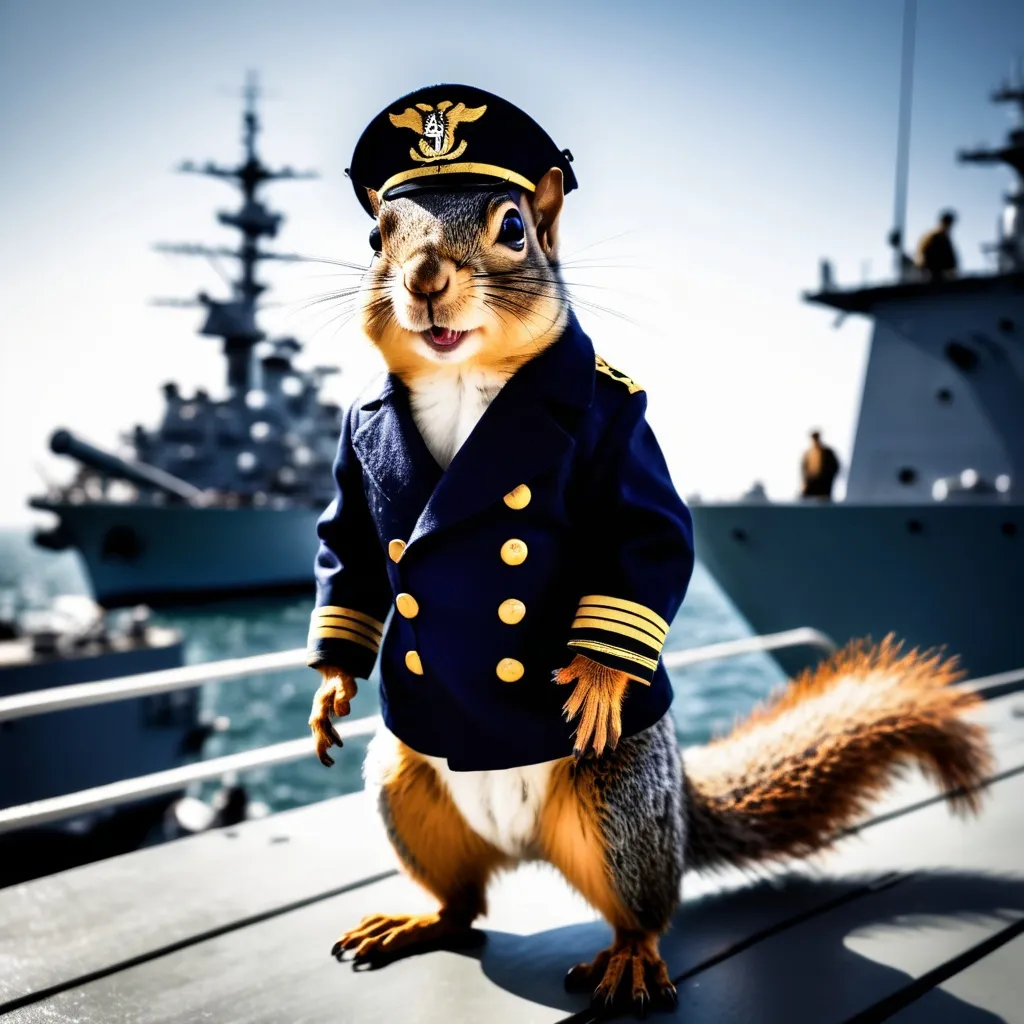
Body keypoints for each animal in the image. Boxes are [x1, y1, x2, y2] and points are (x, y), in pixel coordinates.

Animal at [303, 88, 991, 1015]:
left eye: (513, 228)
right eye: (377, 237)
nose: (424, 279)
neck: (459, 381)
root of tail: (524, 841)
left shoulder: (623, 437)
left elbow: (647, 535)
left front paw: (597, 676)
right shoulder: (356, 459)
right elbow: (348, 550)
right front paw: (332, 687)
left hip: (618, 802)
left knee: (642, 908)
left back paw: (628, 961)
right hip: (407, 787)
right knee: (464, 902)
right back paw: (414, 920)